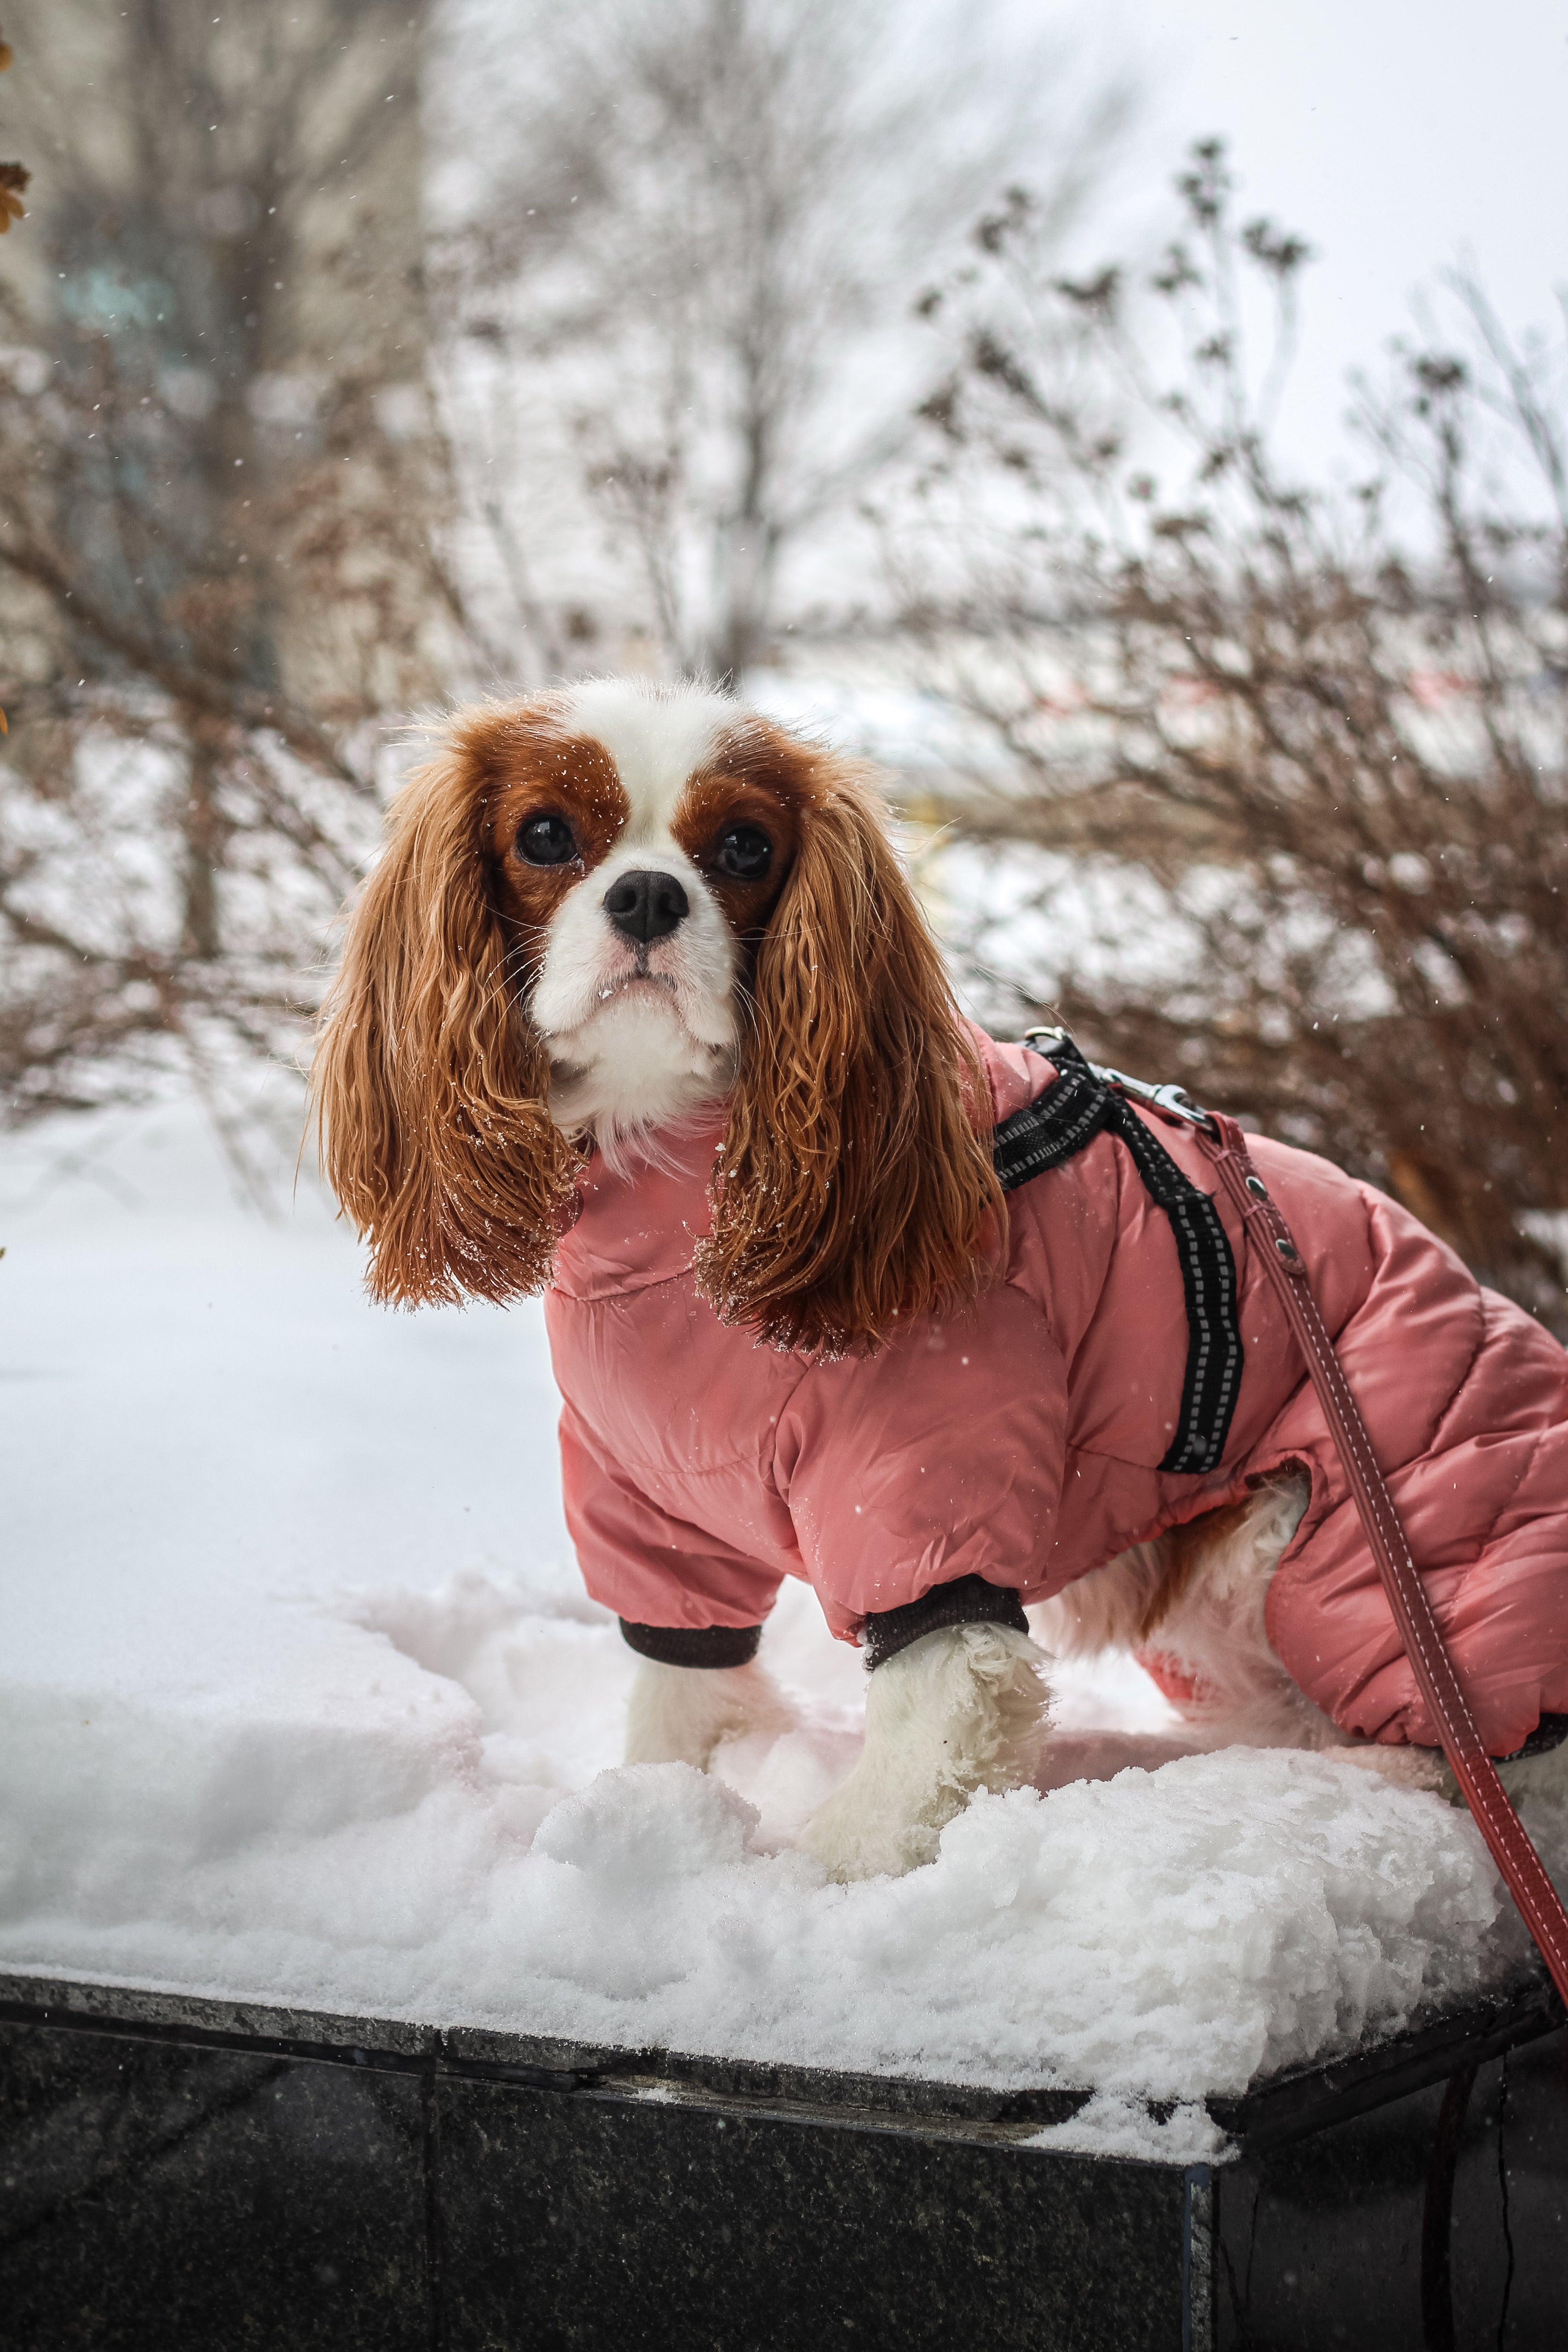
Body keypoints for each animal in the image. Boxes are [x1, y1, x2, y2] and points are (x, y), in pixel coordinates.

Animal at [312, 677, 1568, 1872]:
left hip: (1367, 1555)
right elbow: (682, 1693)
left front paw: (798, 1884)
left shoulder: (923, 1491)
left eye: (743, 849)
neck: (673, 1186)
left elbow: (934, 1734)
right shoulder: (655, 1505)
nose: (648, 897)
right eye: (543, 833)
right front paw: (663, 1808)